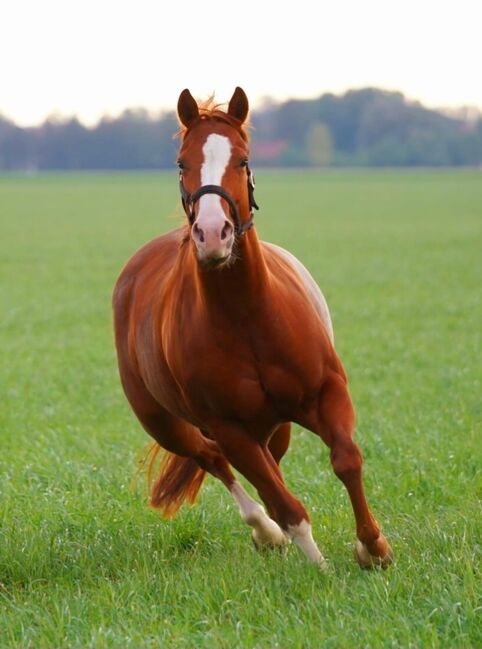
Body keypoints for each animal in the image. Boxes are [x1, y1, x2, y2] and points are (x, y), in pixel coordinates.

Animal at [112, 85, 392, 568]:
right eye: (182, 162)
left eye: (242, 160)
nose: (212, 233)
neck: (247, 316)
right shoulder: (228, 427)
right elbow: (286, 505)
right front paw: (320, 569)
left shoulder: (327, 393)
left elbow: (346, 459)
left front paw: (373, 548)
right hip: (164, 423)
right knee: (214, 460)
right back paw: (265, 532)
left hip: (274, 426)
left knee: (267, 463)